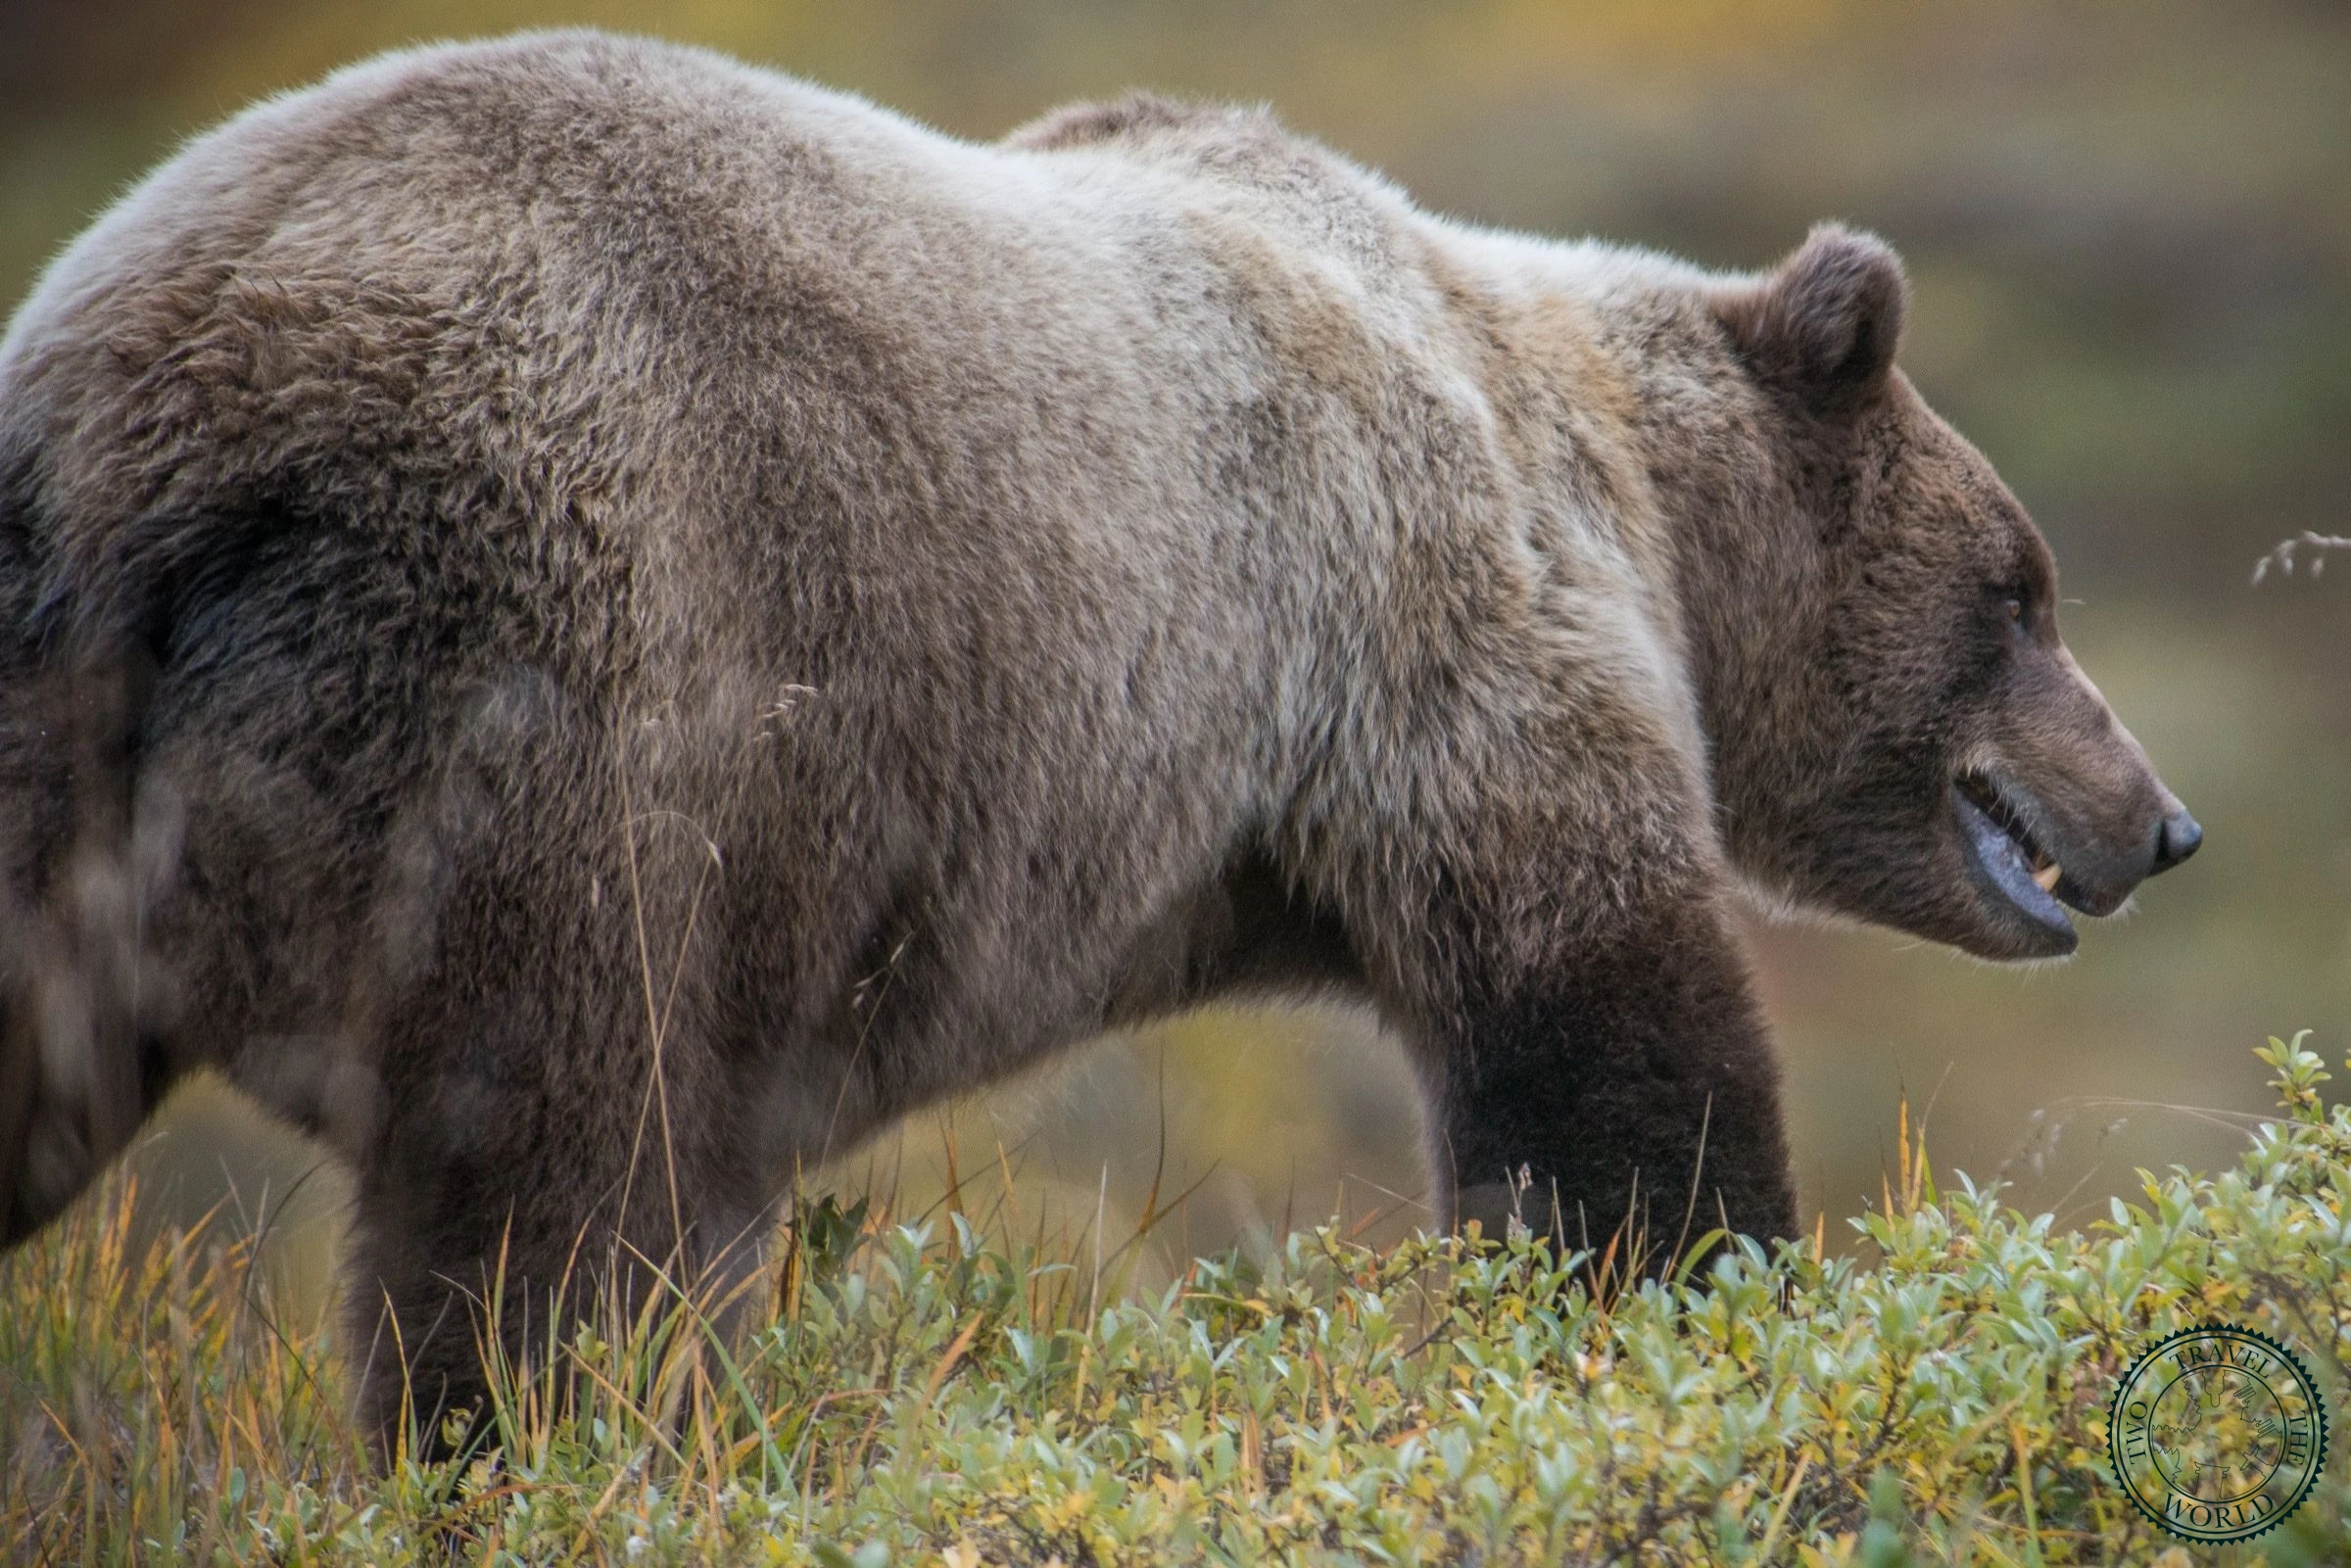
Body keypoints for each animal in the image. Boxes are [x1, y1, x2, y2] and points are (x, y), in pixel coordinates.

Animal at [0, 30, 2199, 1453]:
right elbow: (1610, 1045)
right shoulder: (1440, 640)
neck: (1624, 499)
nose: (2163, 816)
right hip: (586, 649)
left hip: (55, 716)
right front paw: (1693, 1300)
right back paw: (554, 1453)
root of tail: (188, 401)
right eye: (2026, 591)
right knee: (549, 1157)